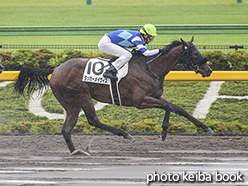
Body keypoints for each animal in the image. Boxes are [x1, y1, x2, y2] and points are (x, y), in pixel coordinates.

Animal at [14, 36, 213, 155]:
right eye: (194, 52)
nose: (209, 70)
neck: (149, 68)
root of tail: (55, 69)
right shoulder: (140, 101)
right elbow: (167, 107)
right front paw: (163, 132)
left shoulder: (155, 96)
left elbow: (178, 109)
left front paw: (206, 128)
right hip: (82, 96)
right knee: (93, 120)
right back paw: (125, 134)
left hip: (71, 103)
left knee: (67, 129)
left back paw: (76, 152)